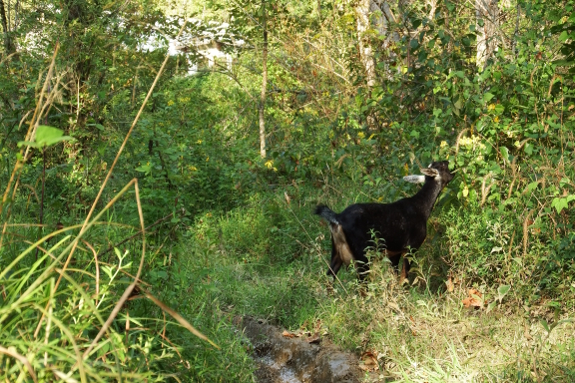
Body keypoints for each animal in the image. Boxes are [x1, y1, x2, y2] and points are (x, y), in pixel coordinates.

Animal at [316, 160, 454, 284]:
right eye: (443, 165)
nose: (448, 162)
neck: (421, 208)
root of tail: (338, 218)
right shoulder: (411, 247)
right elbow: (403, 278)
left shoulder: (394, 253)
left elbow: (395, 278)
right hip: (361, 254)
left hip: (336, 251)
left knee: (329, 278)